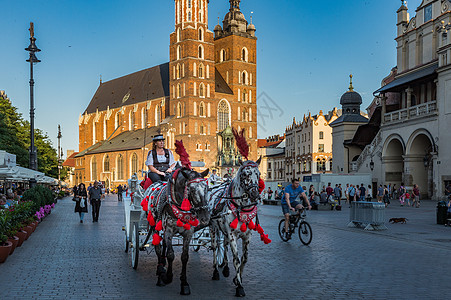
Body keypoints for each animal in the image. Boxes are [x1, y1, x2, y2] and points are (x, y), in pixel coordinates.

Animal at [210, 158, 264, 296]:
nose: (255, 194)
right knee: (215, 247)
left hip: (224, 230)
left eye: (258, 174)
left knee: (224, 245)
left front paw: (236, 278)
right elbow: (236, 259)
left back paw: (225, 268)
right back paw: (216, 272)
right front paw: (239, 286)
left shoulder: (247, 236)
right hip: (213, 228)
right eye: (245, 174)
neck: (241, 207)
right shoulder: (232, 235)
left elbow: (244, 258)